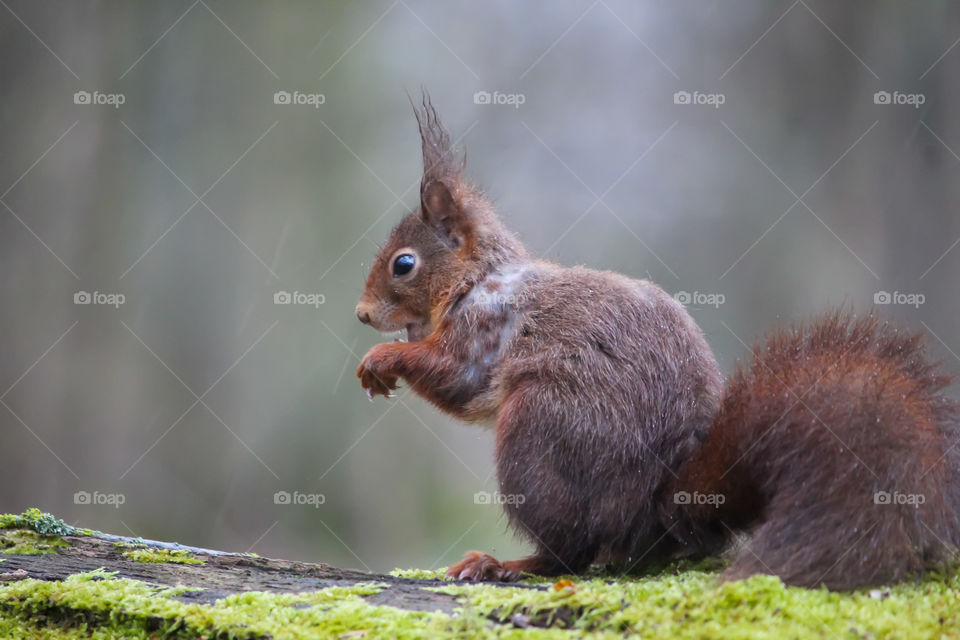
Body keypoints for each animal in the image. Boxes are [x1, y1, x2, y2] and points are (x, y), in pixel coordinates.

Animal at [354, 95, 960, 592]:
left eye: (403, 264)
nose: (361, 314)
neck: (478, 280)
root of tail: (654, 507)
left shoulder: (486, 331)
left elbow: (456, 377)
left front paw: (380, 360)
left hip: (538, 432)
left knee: (570, 554)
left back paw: (505, 563)